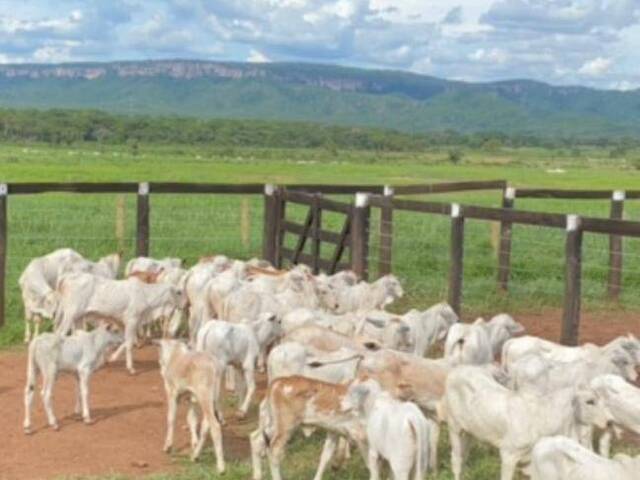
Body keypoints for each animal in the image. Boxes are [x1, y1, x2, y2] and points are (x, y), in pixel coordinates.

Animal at [157, 340, 225, 470]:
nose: (160, 366)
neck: (175, 354)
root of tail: (214, 365)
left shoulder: (172, 393)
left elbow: (171, 418)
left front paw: (168, 446)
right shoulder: (191, 399)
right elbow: (191, 419)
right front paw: (194, 442)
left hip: (205, 396)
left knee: (214, 426)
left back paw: (221, 467)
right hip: (213, 398)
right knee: (205, 425)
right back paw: (195, 456)